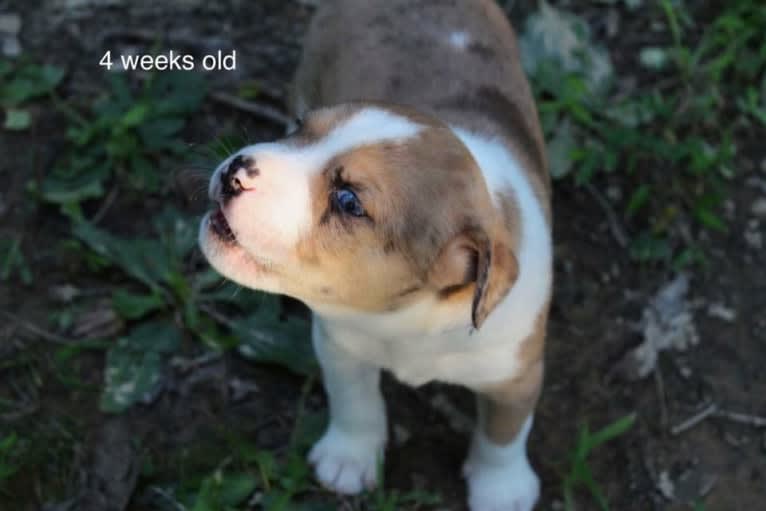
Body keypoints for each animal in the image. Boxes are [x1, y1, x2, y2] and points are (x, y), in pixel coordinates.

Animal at [200, 2, 552, 510]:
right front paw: (349, 458)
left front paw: (501, 489)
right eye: (300, 129)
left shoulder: (516, 371)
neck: (409, 318)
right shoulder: (340, 343)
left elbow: (505, 432)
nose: (235, 170)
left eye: (348, 201)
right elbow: (354, 400)